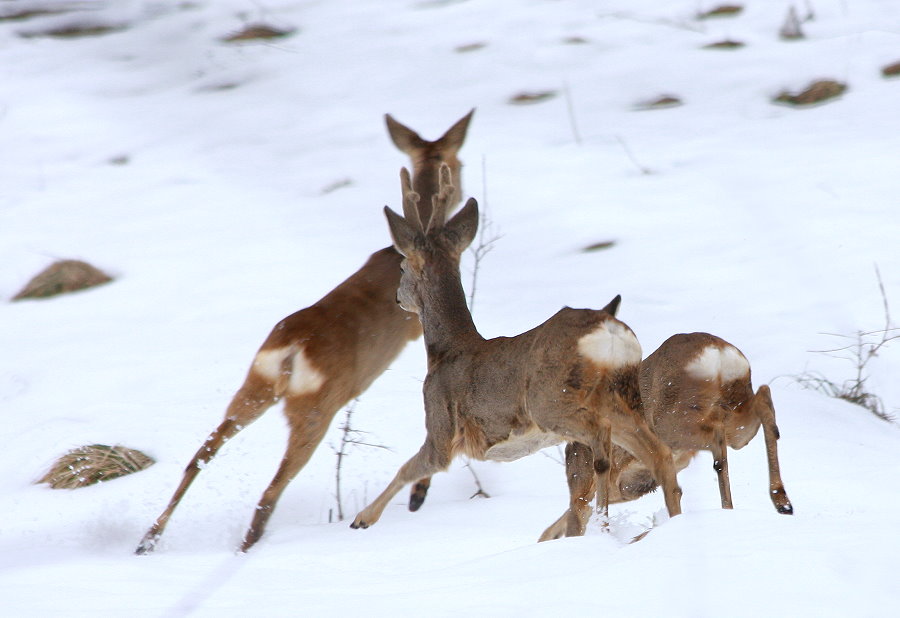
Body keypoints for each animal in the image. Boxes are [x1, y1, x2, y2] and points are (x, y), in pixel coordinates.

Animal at [348, 166, 680, 536]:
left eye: (402, 266)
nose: (396, 297)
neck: (445, 350)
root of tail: (607, 328)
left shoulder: (442, 426)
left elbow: (408, 467)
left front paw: (363, 518)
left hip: (550, 400)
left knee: (600, 443)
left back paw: (602, 524)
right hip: (622, 396)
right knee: (658, 453)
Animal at [536, 332, 792, 540]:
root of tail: (717, 353)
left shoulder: (585, 486)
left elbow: (573, 523)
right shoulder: (627, 487)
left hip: (671, 423)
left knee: (717, 438)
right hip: (736, 418)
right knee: (763, 399)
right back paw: (781, 502)